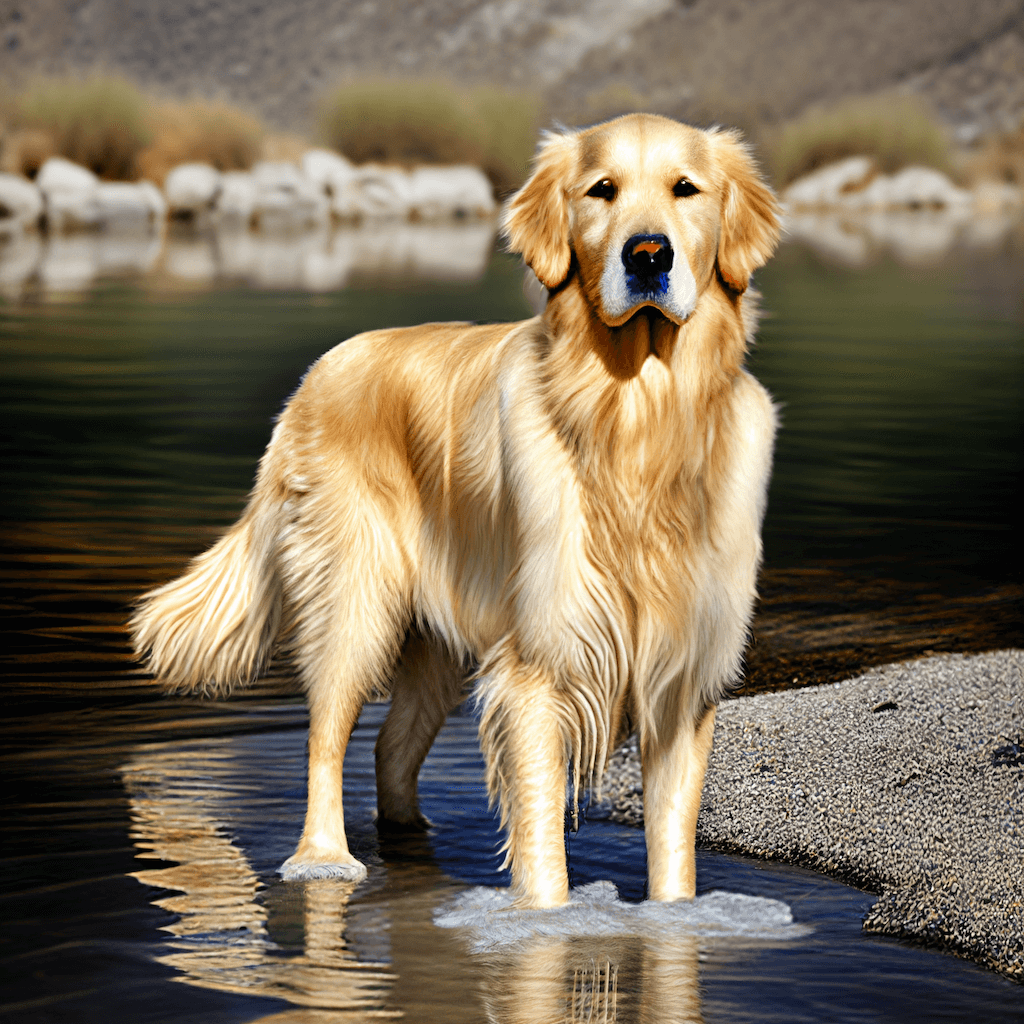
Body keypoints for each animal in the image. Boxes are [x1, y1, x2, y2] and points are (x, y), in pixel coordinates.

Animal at [132, 112, 778, 909]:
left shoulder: (684, 674)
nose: (649, 253)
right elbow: (543, 848)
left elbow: (673, 848)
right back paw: (324, 859)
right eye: (602, 190)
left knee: (390, 746)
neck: (637, 419)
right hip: (354, 598)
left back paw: (411, 837)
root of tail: (316, 373)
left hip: (436, 640)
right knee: (326, 734)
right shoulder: (539, 663)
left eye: (685, 189)